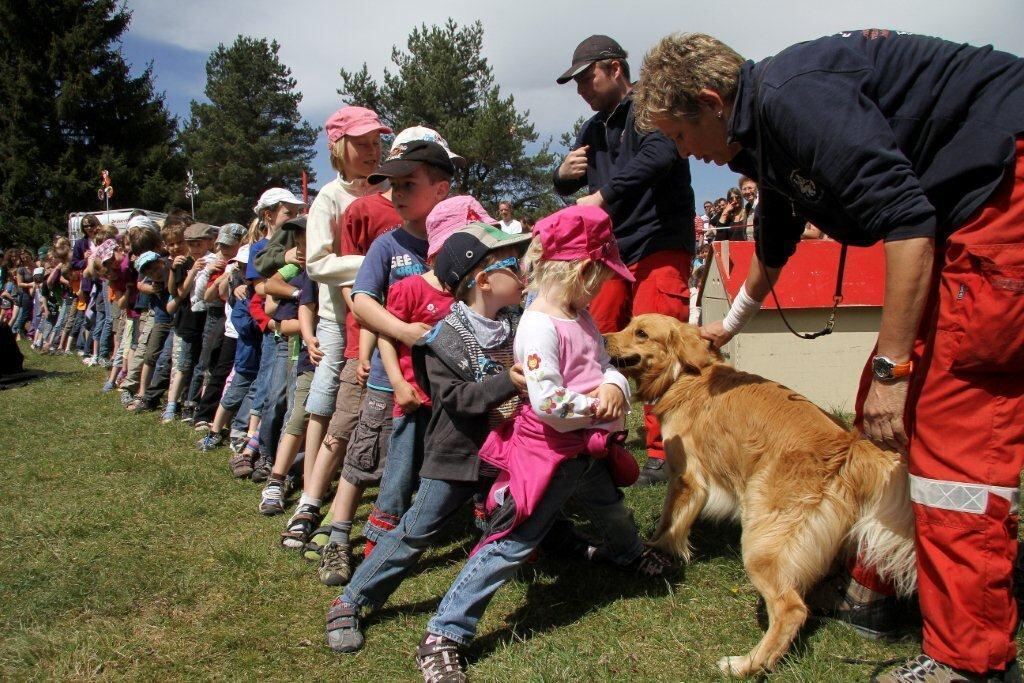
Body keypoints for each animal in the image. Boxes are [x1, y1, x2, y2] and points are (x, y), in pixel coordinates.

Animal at [602, 315, 917, 679]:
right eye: (627, 325)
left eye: (641, 333)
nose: (603, 338)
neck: (683, 376)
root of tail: (848, 447)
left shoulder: (687, 476)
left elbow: (669, 522)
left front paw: (655, 549)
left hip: (761, 541)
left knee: (791, 609)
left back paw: (745, 664)